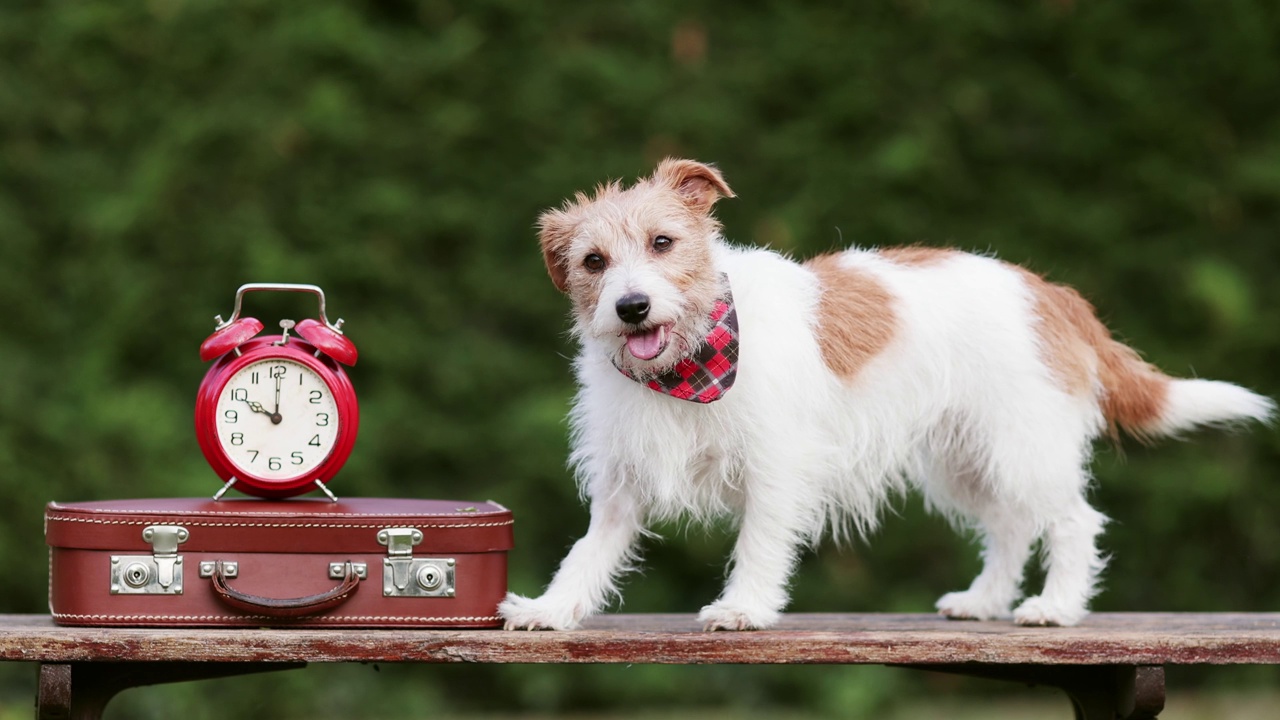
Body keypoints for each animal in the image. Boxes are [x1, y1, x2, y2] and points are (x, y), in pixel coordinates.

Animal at [496, 156, 1269, 627]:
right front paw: (552, 609)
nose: (630, 307)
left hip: (1021, 449)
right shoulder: (621, 485)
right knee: (1011, 528)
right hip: (967, 461)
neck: (687, 369)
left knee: (1073, 523)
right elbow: (588, 552)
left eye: (662, 243)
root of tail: (1050, 294)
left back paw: (1055, 607)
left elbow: (758, 543)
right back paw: (985, 600)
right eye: (593, 261)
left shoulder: (777, 468)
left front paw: (744, 608)